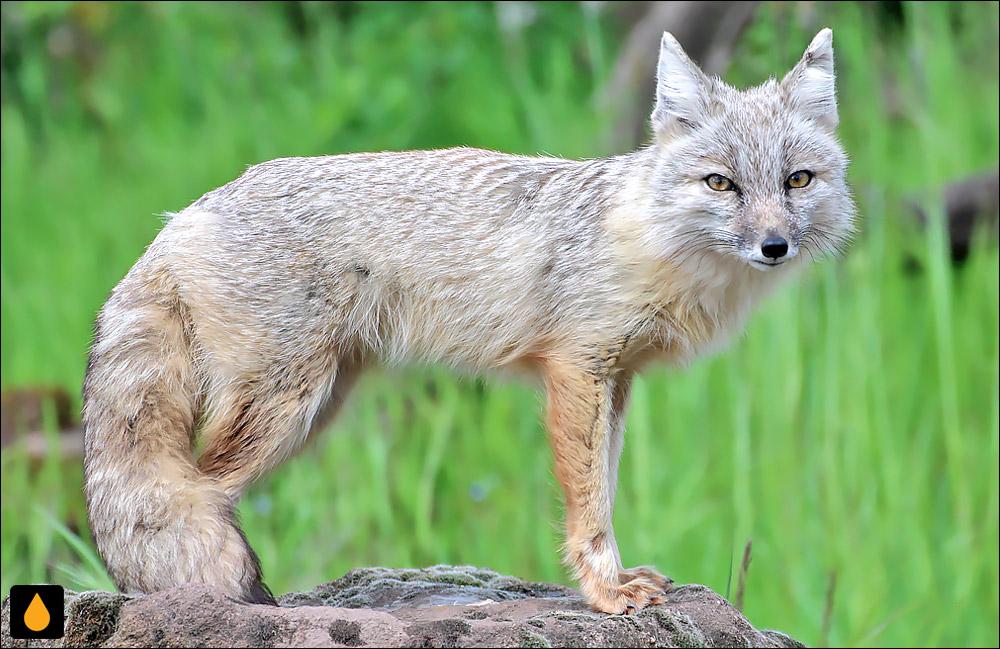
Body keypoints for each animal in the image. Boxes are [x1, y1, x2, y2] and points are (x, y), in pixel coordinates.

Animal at [82, 27, 856, 612]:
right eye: (721, 183)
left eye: (797, 181)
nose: (774, 245)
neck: (648, 237)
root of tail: (185, 213)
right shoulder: (578, 369)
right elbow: (588, 503)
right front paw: (604, 592)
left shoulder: (618, 379)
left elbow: (605, 488)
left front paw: (614, 577)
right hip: (284, 405)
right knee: (203, 492)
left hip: (317, 404)